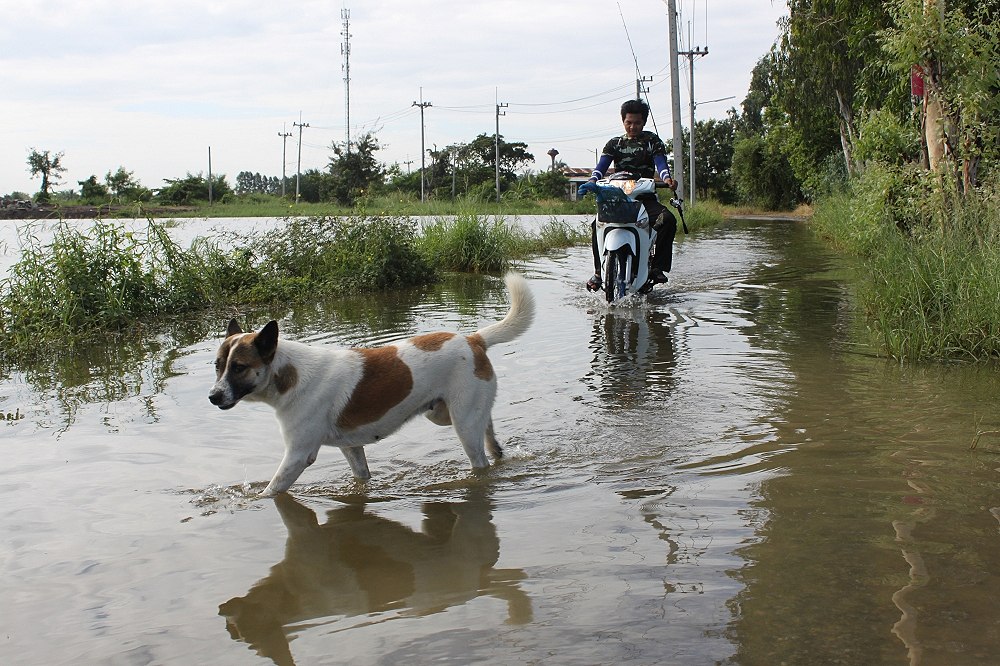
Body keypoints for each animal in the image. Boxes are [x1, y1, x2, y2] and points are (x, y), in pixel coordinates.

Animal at [203, 270, 532, 492]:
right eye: (218, 366)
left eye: (239, 367)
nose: (213, 397)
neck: (289, 375)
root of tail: (473, 339)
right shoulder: (351, 448)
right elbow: (361, 475)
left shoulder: (297, 455)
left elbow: (271, 491)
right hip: (446, 415)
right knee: (490, 434)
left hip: (462, 424)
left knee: (481, 460)